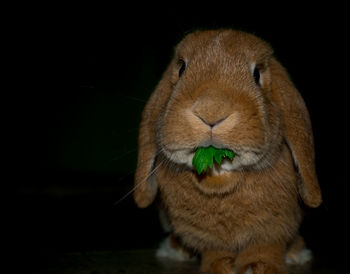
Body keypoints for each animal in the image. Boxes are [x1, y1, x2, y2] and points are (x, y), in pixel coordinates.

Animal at [133, 28, 322, 272]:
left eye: (257, 75)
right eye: (182, 69)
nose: (211, 110)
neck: (220, 186)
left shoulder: (273, 226)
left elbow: (265, 246)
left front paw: (259, 267)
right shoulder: (205, 235)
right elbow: (215, 250)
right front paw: (219, 266)